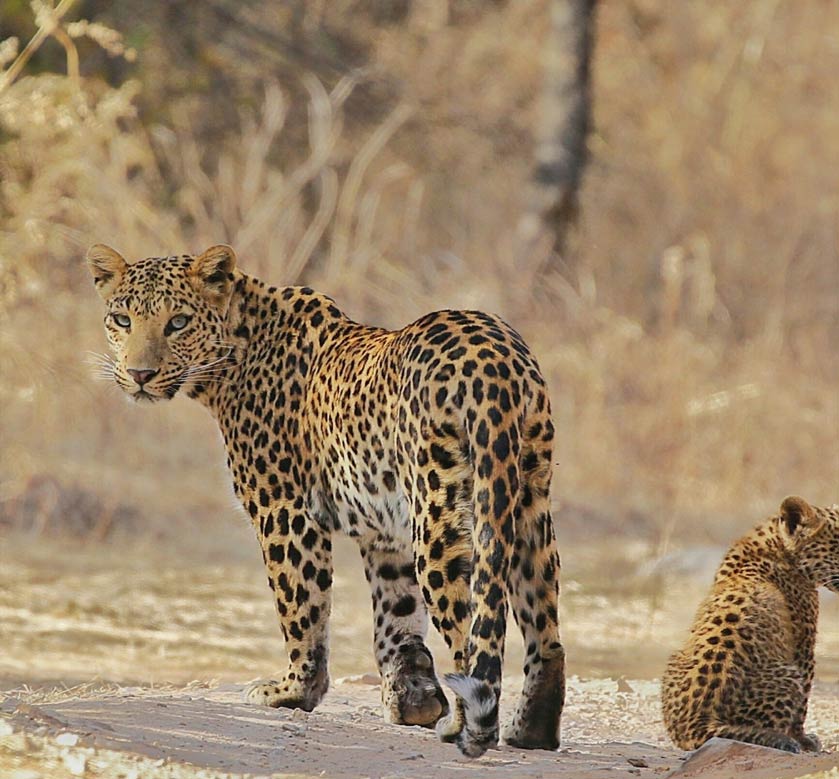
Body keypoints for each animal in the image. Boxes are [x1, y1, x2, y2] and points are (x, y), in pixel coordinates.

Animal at [87, 244, 564, 756]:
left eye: (177, 322)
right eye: (121, 319)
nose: (140, 374)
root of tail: (494, 358)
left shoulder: (283, 508)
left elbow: (300, 604)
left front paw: (294, 691)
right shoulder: (386, 530)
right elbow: (396, 616)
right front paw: (413, 700)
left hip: (441, 511)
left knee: (471, 629)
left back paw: (467, 726)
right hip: (527, 497)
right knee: (543, 621)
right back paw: (531, 731)